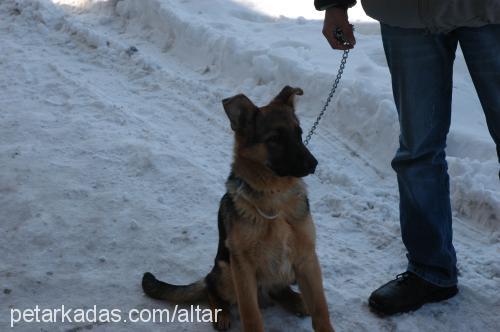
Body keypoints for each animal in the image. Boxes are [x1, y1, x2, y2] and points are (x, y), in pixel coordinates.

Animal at [143, 86, 334, 332]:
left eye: (299, 134)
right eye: (274, 139)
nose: (313, 164)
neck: (274, 197)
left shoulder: (307, 259)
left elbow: (320, 310)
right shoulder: (243, 267)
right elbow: (251, 316)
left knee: (278, 290)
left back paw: (296, 300)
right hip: (226, 271)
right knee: (210, 287)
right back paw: (222, 314)